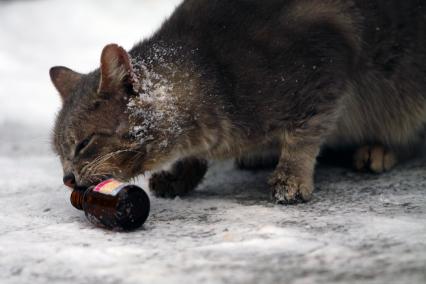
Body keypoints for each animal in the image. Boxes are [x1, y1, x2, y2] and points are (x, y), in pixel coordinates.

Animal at [50, 0, 426, 204]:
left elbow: (303, 136)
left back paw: (378, 149)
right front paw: (180, 173)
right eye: (60, 152)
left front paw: (291, 178)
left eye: (83, 144)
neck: (215, 70)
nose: (67, 178)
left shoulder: (325, 69)